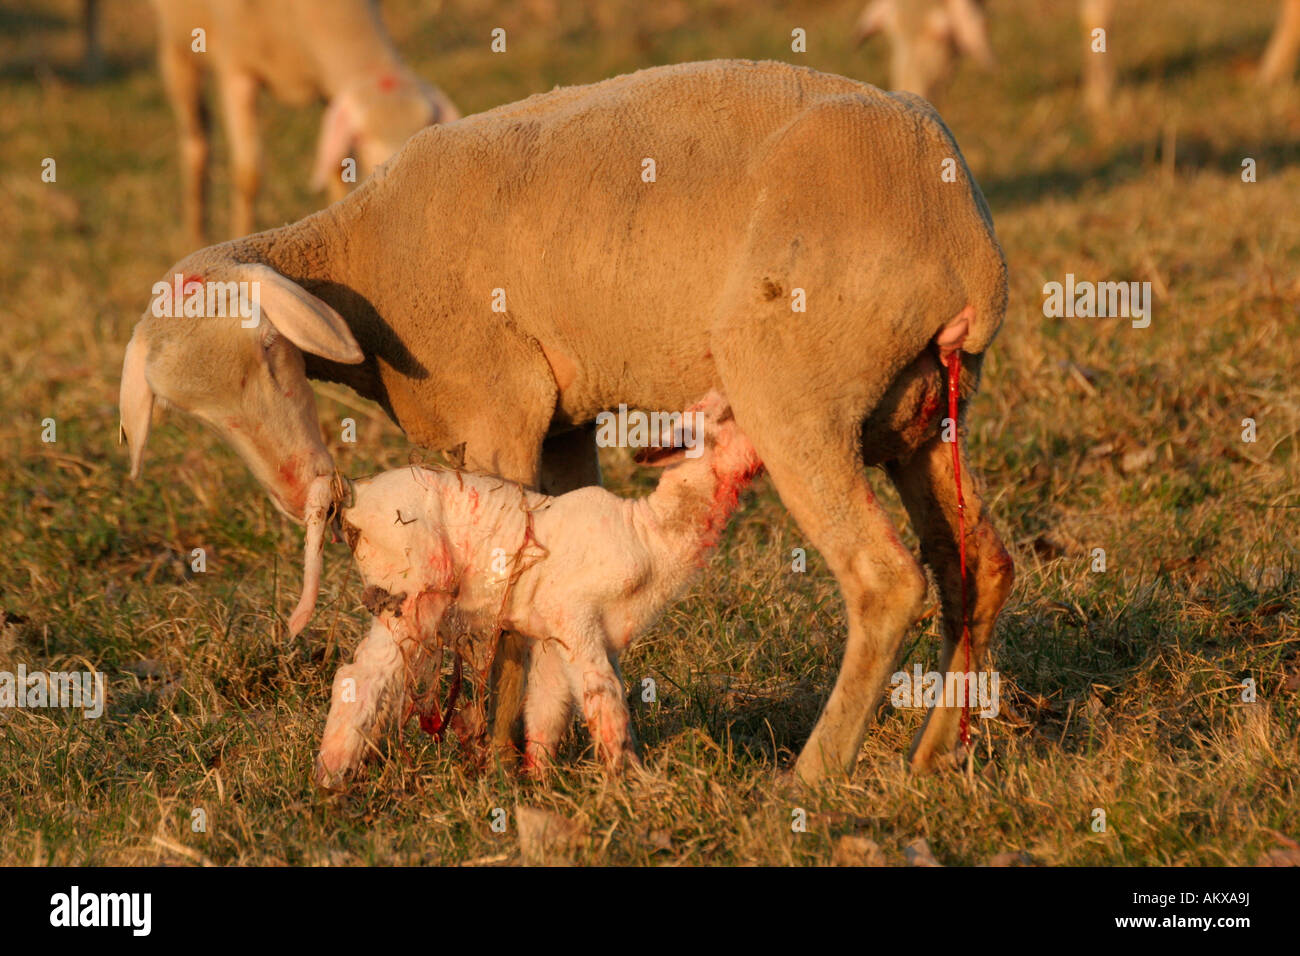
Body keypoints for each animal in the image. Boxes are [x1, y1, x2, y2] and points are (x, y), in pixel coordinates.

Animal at [150, 0, 462, 239]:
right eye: (360, 136)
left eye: (426, 131)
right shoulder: (236, 68)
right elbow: (249, 175)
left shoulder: (327, 84)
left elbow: (338, 165)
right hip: (177, 44)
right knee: (196, 142)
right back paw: (196, 237)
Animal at [287, 390, 759, 785]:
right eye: (729, 413)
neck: (649, 532)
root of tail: (352, 491)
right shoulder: (574, 617)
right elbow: (605, 698)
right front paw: (633, 782)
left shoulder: (557, 635)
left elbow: (548, 706)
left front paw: (538, 780)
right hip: (411, 594)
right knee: (360, 677)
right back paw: (331, 778)